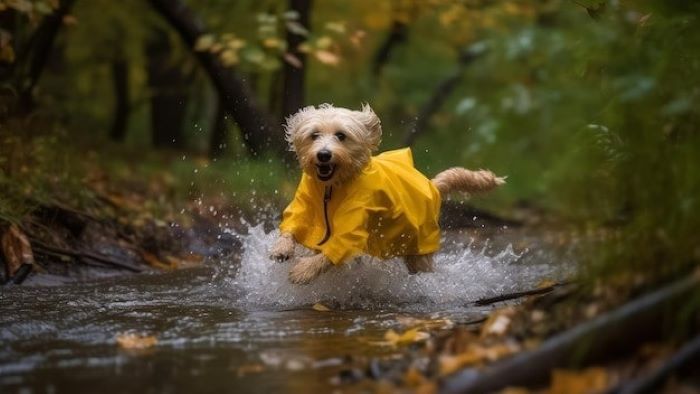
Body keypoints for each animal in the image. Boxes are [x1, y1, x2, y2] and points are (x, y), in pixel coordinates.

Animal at [268, 103, 504, 284]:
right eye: (314, 134)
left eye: (341, 135)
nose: (324, 154)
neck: (331, 188)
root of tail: (433, 185)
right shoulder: (305, 205)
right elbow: (292, 226)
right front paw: (281, 248)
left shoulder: (354, 224)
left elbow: (335, 250)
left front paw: (304, 271)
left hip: (420, 248)